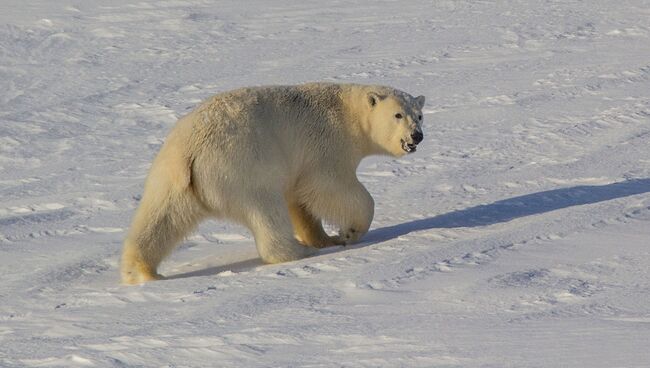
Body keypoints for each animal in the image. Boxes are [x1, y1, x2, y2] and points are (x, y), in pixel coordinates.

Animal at [120, 83, 426, 284]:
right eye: (398, 115)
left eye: (420, 115)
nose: (417, 135)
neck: (346, 112)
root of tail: (191, 152)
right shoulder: (326, 145)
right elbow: (330, 185)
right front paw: (347, 233)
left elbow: (300, 199)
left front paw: (323, 238)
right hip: (242, 167)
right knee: (266, 210)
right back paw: (297, 251)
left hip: (172, 179)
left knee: (160, 217)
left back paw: (141, 270)